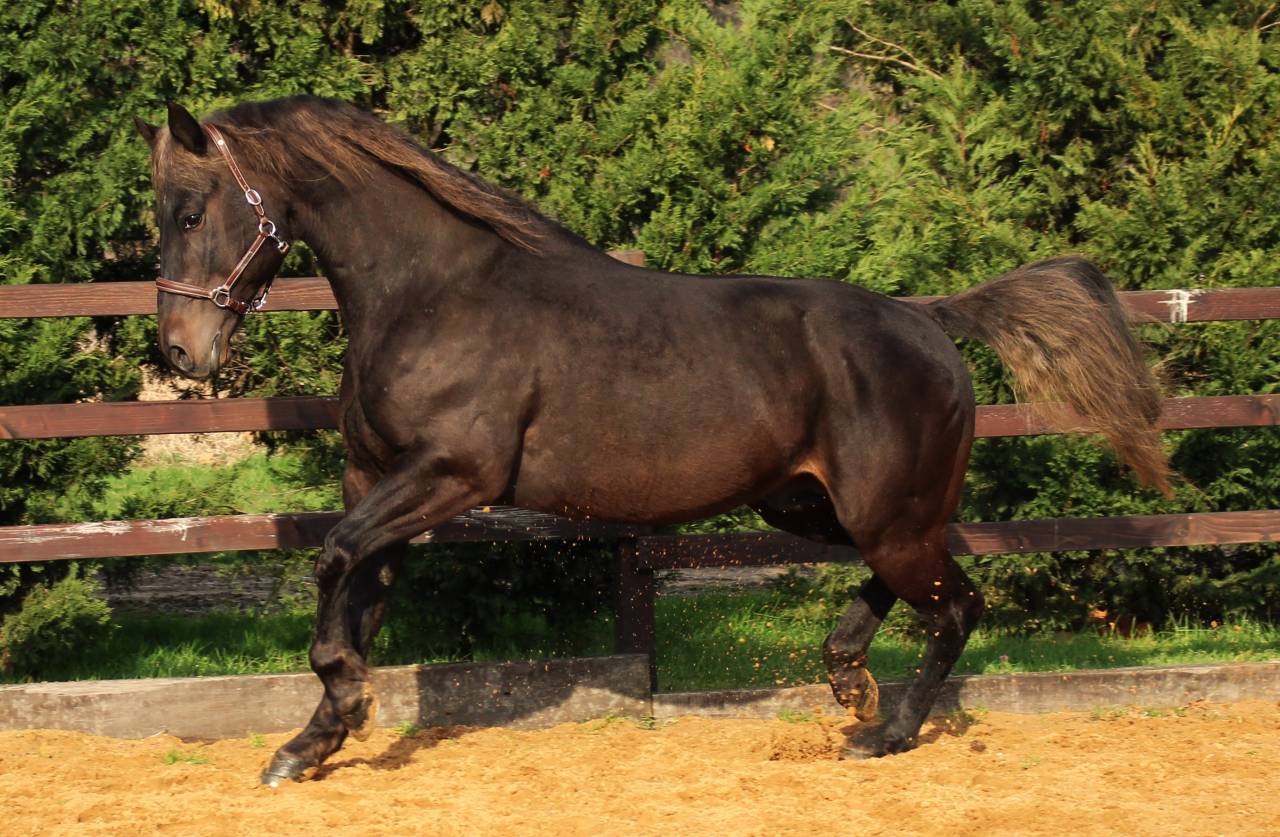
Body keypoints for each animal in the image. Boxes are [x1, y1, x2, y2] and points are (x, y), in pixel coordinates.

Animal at [135, 96, 1169, 785]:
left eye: (190, 212)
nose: (182, 350)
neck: (435, 293)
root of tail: (929, 318)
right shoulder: (379, 480)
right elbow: (357, 590)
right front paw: (309, 744)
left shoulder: (454, 474)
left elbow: (334, 565)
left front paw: (344, 702)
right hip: (820, 506)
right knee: (923, 581)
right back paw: (847, 678)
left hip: (882, 515)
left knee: (958, 604)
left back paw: (885, 730)